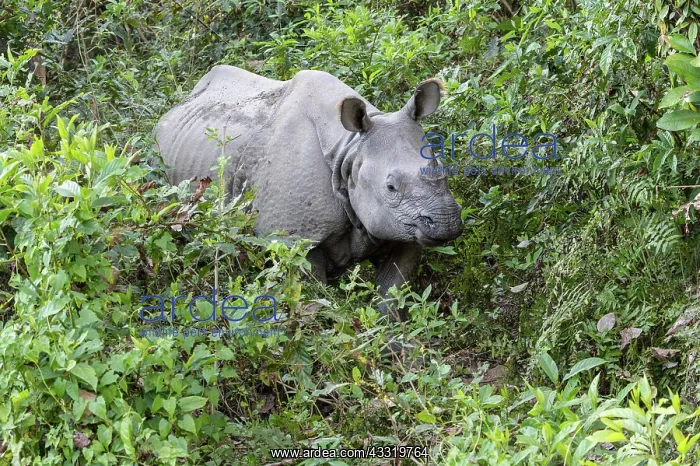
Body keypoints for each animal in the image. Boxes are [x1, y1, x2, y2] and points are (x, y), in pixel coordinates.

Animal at [155, 65, 462, 318]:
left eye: (443, 170)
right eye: (390, 187)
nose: (447, 221)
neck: (350, 151)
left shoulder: (401, 227)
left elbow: (392, 294)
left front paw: (393, 344)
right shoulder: (295, 238)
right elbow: (311, 299)